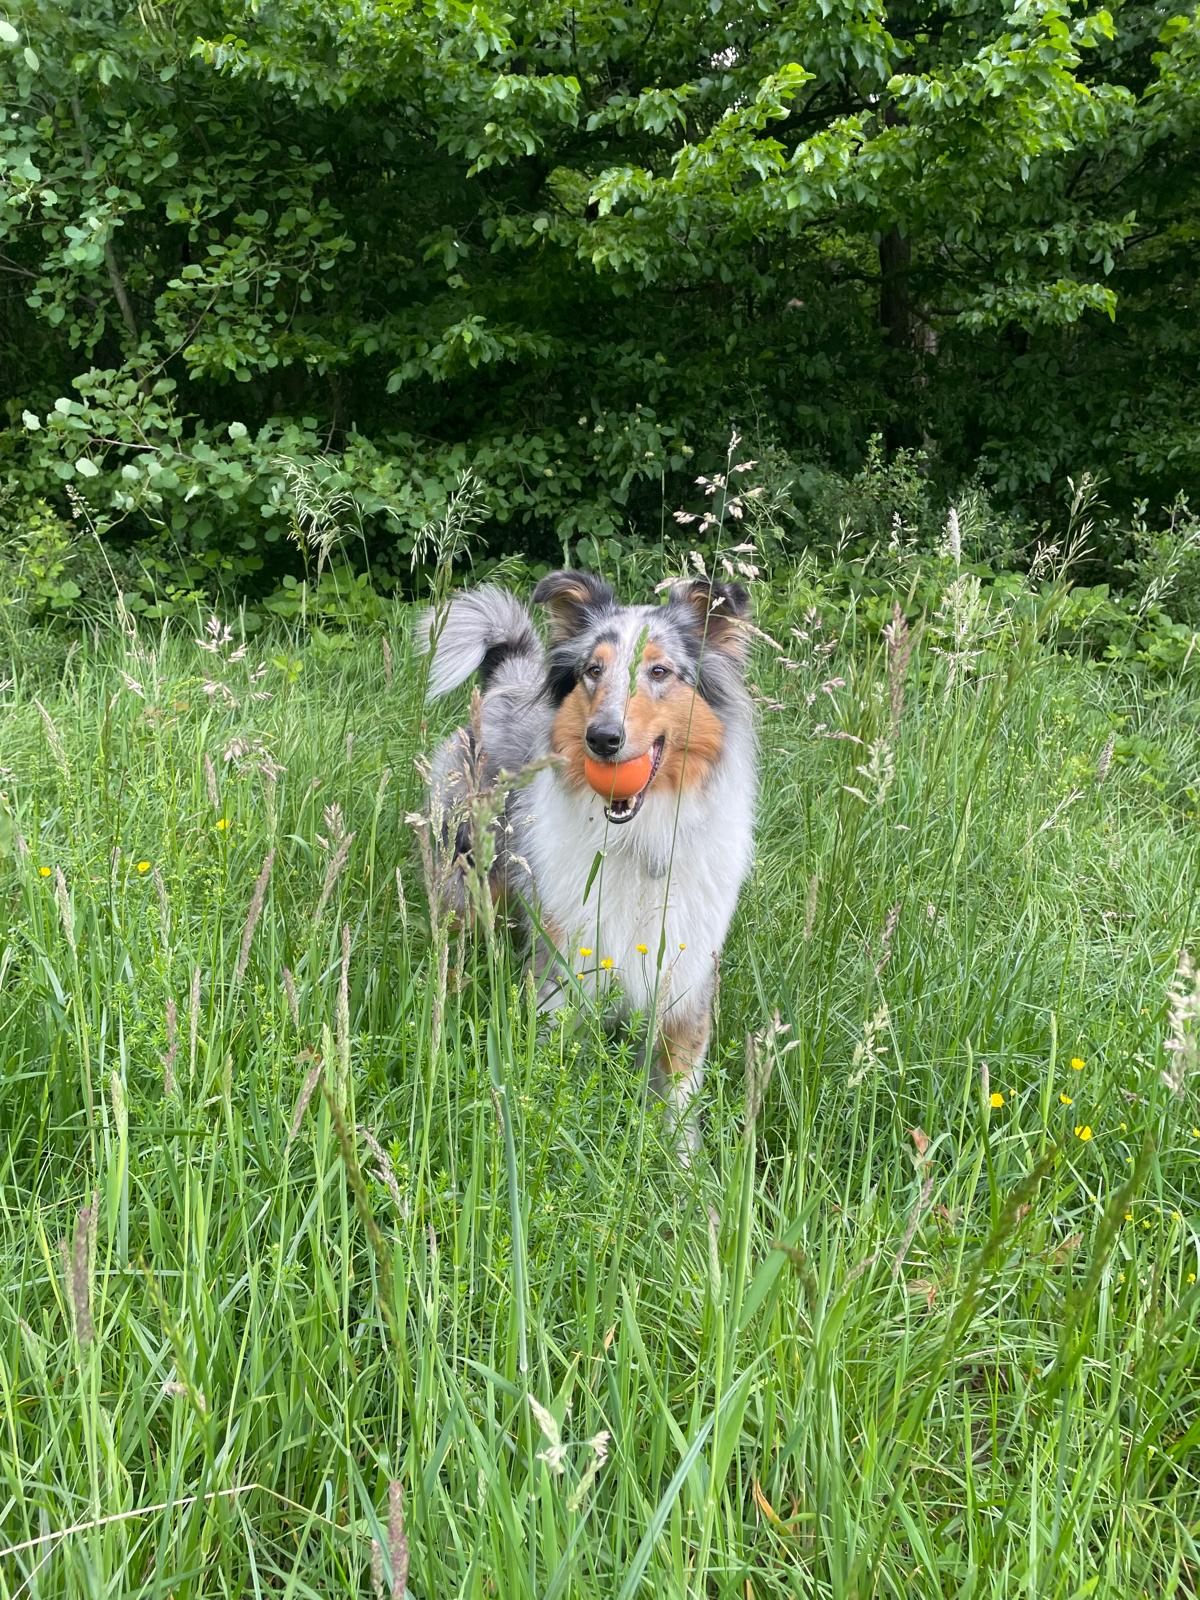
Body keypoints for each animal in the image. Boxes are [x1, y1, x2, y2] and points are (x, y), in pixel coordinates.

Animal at [422, 569, 755, 1158]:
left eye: (659, 671)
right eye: (592, 671)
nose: (602, 738)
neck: (637, 840)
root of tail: (508, 679)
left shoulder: (686, 981)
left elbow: (679, 1094)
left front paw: (685, 1170)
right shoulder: (566, 970)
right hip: (463, 882)